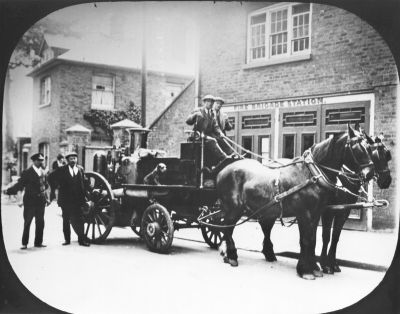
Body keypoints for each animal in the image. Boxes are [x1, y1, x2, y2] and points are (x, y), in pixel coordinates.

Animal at [216, 125, 376, 280]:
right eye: (356, 148)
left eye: (369, 147)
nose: (370, 174)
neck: (311, 174)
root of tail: (222, 171)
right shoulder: (304, 213)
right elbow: (306, 240)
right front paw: (306, 270)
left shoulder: (317, 213)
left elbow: (313, 239)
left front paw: (314, 268)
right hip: (234, 209)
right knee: (227, 228)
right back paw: (231, 256)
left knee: (231, 228)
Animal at [320, 134, 392, 274]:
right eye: (376, 154)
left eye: (387, 155)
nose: (387, 180)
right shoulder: (328, 211)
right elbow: (326, 236)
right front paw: (324, 264)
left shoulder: (343, 212)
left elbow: (335, 237)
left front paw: (333, 264)